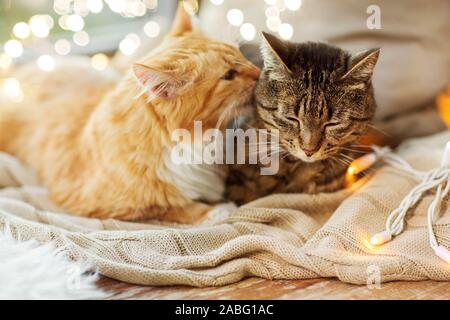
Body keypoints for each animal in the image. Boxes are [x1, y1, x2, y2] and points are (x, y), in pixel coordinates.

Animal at [0, 6, 260, 222]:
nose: (259, 73)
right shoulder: (106, 204)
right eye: (228, 76)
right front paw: (220, 209)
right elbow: (175, 206)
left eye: (240, 54)